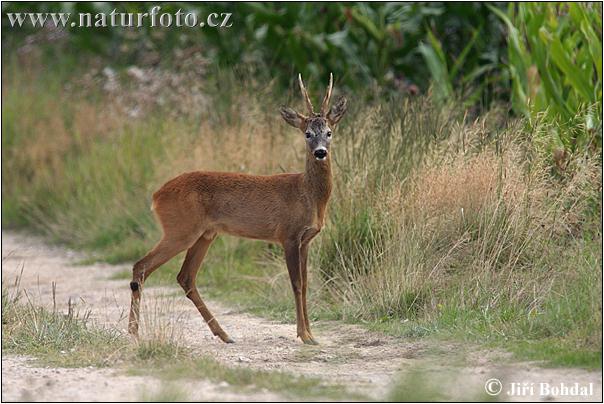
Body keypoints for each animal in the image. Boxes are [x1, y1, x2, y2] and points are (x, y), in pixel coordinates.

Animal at [127, 73, 346, 344]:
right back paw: (133, 332)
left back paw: (224, 334)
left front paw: (310, 334)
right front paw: (304, 335)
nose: (320, 152)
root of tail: (156, 195)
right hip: (180, 229)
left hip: (205, 234)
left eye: (329, 132)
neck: (306, 193)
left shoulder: (305, 240)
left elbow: (305, 284)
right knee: (141, 266)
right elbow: (295, 283)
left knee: (185, 276)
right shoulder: (288, 235)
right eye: (307, 134)